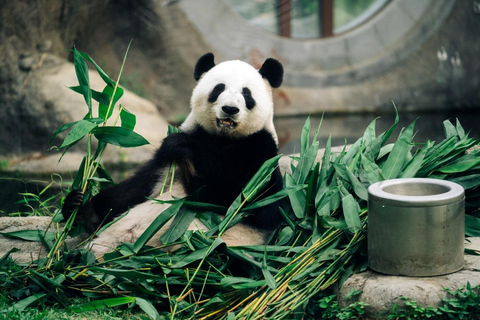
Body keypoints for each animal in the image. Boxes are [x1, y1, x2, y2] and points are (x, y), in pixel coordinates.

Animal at [62, 52, 284, 258]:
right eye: (219, 88)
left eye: (247, 94)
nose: (230, 109)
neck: (222, 137)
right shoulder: (165, 162)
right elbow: (130, 191)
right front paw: (79, 207)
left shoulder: (259, 154)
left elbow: (227, 197)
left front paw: (183, 148)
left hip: (221, 248)